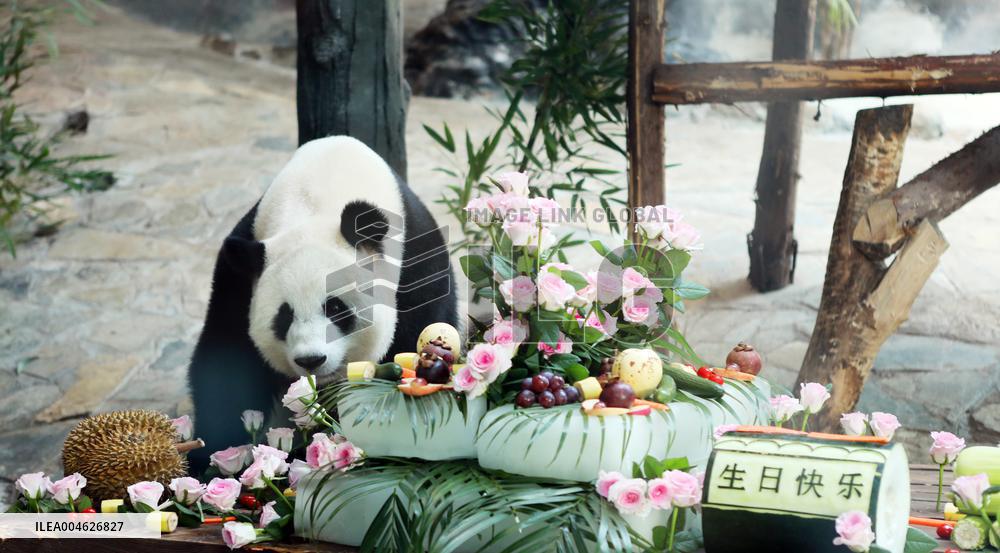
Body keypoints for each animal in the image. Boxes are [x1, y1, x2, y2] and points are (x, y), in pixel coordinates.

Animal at [187, 136, 457, 473]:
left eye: (336, 309)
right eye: (283, 317)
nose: (311, 360)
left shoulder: (418, 264)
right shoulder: (236, 278)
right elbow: (226, 363)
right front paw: (213, 460)